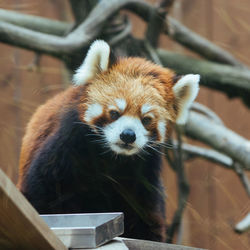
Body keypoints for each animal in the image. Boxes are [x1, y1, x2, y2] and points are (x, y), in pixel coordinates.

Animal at [17, 40, 199, 241]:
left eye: (146, 119)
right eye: (114, 113)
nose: (128, 135)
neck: (112, 158)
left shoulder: (143, 173)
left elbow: (145, 212)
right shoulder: (64, 149)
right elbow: (43, 192)